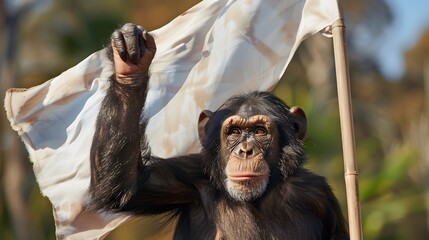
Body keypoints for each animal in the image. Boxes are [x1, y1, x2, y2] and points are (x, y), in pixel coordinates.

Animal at [88, 23, 348, 240]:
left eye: (260, 131)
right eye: (234, 132)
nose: (245, 150)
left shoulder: (318, 193)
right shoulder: (189, 176)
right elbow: (124, 186)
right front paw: (131, 63)